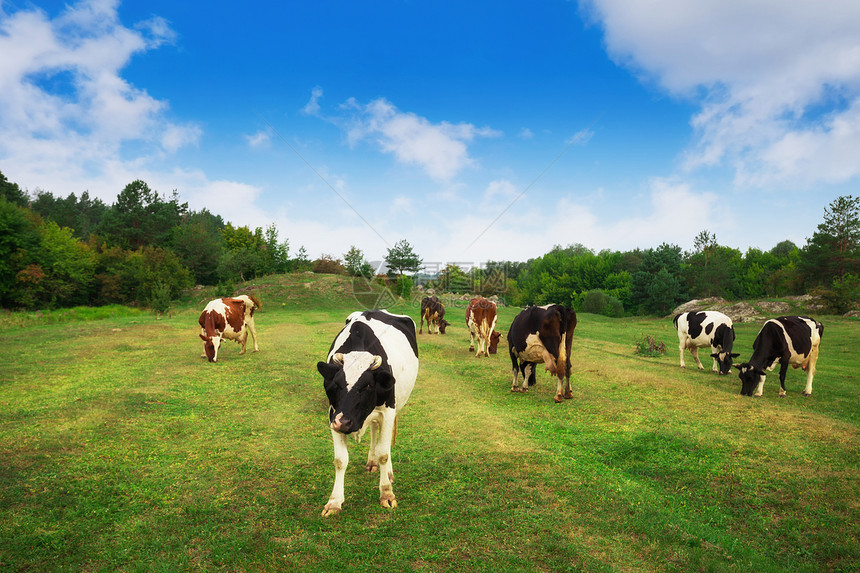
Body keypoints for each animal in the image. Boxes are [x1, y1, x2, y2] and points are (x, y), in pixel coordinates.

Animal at [318, 310, 422, 516]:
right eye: (335, 385)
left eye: (367, 386)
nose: (344, 423)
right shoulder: (333, 414)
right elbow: (340, 460)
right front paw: (334, 501)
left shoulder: (388, 411)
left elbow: (384, 453)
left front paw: (387, 493)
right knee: (374, 429)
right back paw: (372, 462)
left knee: (385, 443)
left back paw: (387, 472)